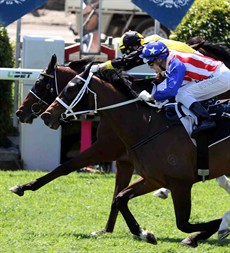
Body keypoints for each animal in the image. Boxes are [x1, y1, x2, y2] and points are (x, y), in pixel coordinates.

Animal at [40, 62, 230, 248]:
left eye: (71, 89)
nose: (46, 115)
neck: (147, 127)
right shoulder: (154, 179)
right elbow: (120, 198)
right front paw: (144, 233)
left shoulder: (180, 183)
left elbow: (183, 224)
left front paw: (217, 227)